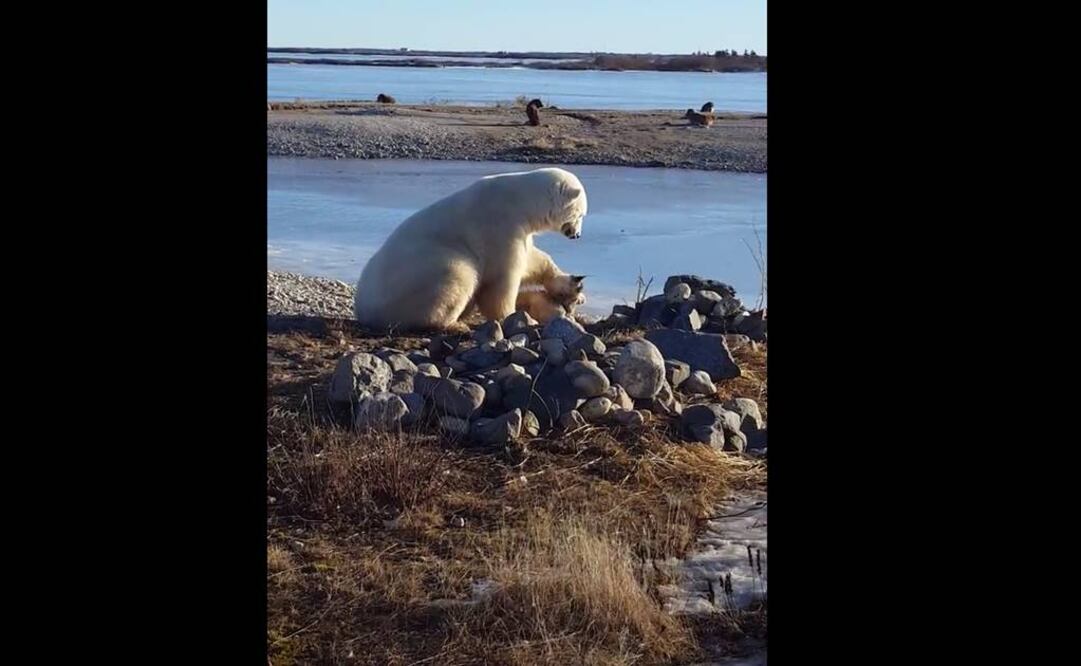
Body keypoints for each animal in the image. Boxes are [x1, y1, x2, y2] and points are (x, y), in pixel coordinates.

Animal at [353, 167, 587, 333]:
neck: (520, 200)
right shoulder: (500, 225)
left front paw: (571, 285)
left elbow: (532, 259)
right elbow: (502, 278)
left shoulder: (520, 230)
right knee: (458, 275)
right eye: (581, 214)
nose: (577, 235)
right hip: (422, 274)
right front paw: (513, 316)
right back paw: (454, 324)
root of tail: (364, 310)